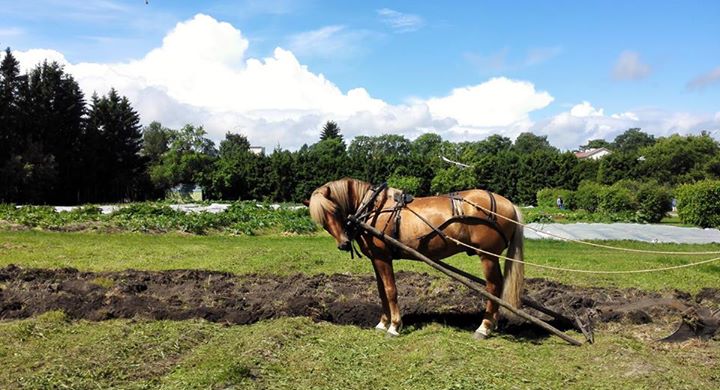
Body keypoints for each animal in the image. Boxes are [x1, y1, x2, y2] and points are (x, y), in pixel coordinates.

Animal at [306, 177, 524, 338]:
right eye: (321, 220)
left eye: (335, 210)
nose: (343, 244)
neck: (372, 208)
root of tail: (509, 204)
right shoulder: (376, 258)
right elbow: (381, 291)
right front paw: (382, 323)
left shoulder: (383, 258)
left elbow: (390, 290)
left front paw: (394, 326)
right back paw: (492, 324)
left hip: (488, 256)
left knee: (493, 286)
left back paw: (484, 327)